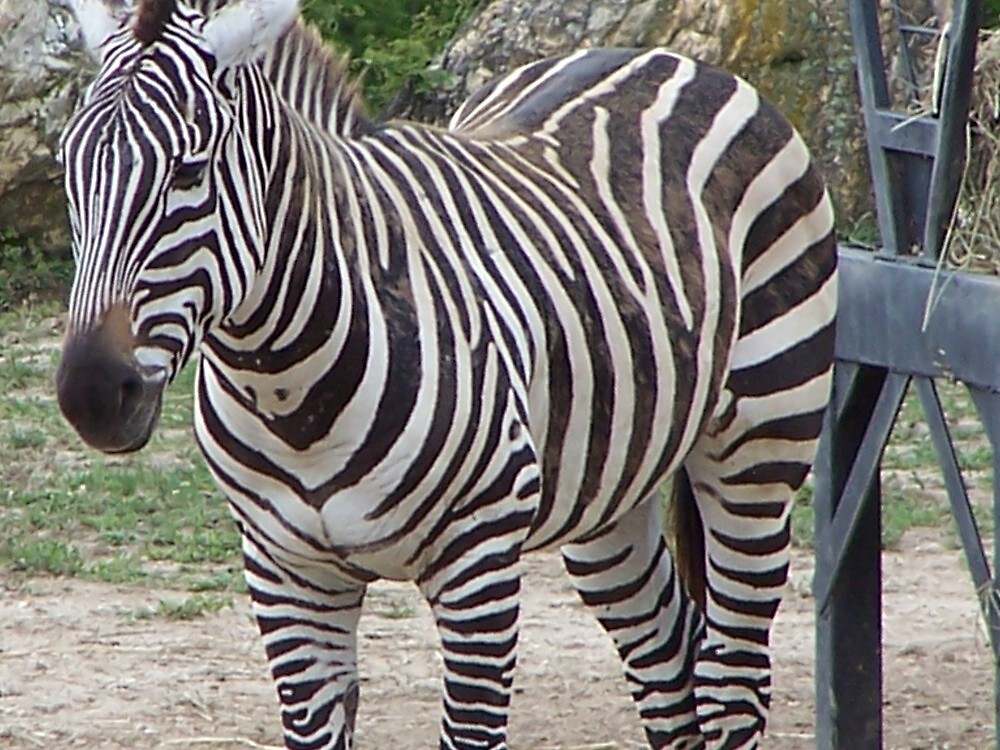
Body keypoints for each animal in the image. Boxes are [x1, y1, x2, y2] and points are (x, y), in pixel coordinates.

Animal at [54, 1, 836, 750]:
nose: (92, 396)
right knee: (669, 659)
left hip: (761, 445)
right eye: (68, 169)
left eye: (189, 172)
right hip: (609, 485)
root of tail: (669, 57)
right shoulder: (286, 572)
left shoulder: (478, 561)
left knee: (730, 678)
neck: (290, 395)